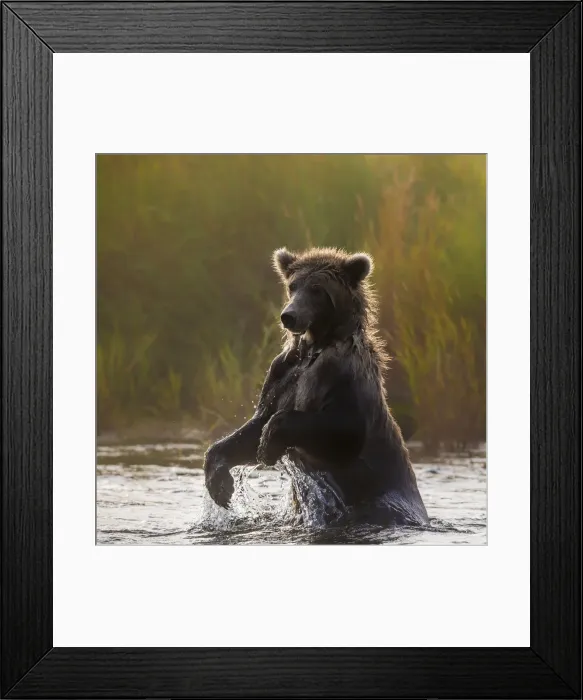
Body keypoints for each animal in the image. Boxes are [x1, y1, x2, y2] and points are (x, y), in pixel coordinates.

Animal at [203, 246, 429, 526]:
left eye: (317, 289)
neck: (314, 348)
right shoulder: (283, 372)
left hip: (386, 497)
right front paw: (220, 482)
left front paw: (269, 444)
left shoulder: (342, 376)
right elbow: (255, 427)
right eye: (292, 286)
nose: (289, 316)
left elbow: (344, 430)